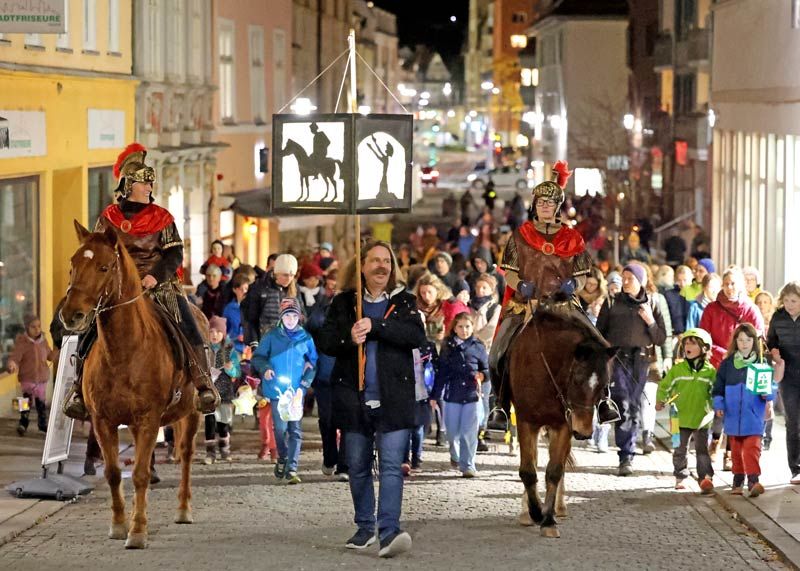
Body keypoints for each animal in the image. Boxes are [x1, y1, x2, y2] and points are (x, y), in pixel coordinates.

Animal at [59, 220, 203, 548]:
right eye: (72, 265)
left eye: (103, 267)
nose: (70, 315)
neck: (124, 351)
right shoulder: (103, 421)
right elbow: (114, 473)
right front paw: (119, 525)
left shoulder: (149, 418)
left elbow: (138, 474)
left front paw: (137, 532)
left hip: (191, 413)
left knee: (186, 454)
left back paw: (184, 509)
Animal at [510, 310, 616, 540]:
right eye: (576, 380)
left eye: (604, 385)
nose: (584, 431)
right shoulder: (526, 421)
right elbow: (528, 470)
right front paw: (534, 511)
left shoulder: (564, 425)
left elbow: (555, 471)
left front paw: (548, 519)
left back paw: (559, 506)